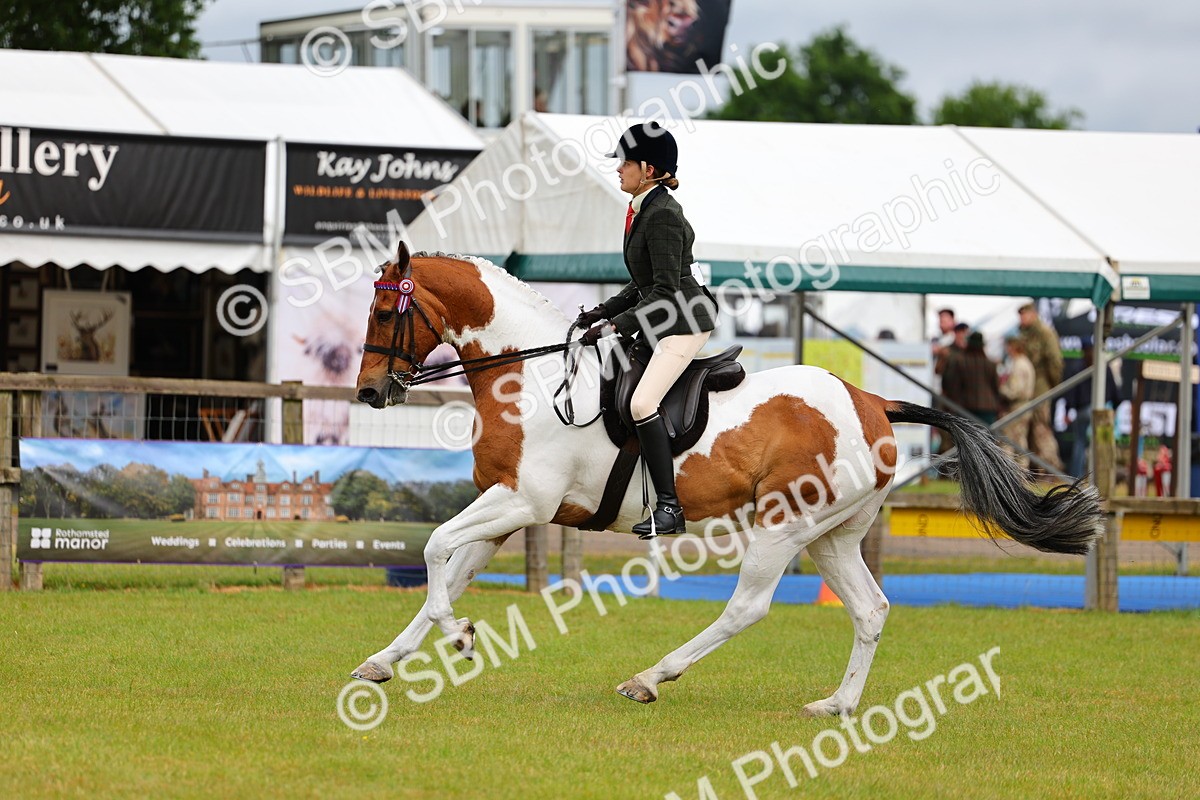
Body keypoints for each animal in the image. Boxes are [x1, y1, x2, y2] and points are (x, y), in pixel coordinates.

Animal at [351, 243, 1103, 716]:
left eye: (386, 312)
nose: (369, 394)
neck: (527, 375)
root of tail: (873, 401)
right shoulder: (510, 508)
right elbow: (447, 570)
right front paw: (387, 660)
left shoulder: (522, 502)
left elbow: (435, 551)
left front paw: (460, 637)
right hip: (832, 535)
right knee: (870, 610)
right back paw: (837, 704)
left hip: (785, 525)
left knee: (748, 606)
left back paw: (650, 678)